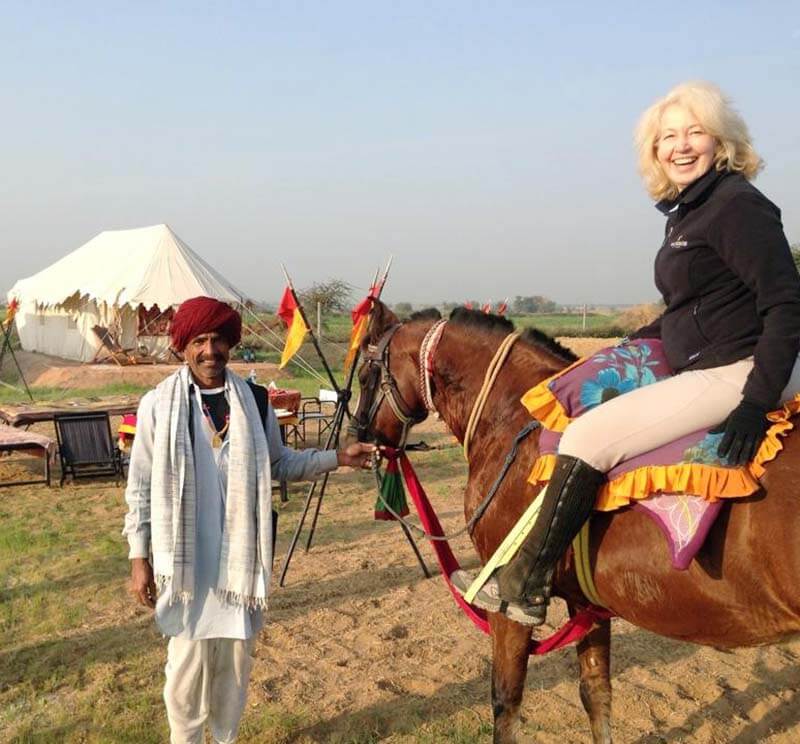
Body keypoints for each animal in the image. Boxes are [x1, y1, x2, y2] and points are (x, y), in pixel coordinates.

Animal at [351, 300, 800, 744]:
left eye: (365, 375)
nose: (358, 437)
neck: (517, 420)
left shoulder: (508, 609)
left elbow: (505, 703)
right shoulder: (589, 603)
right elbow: (596, 694)